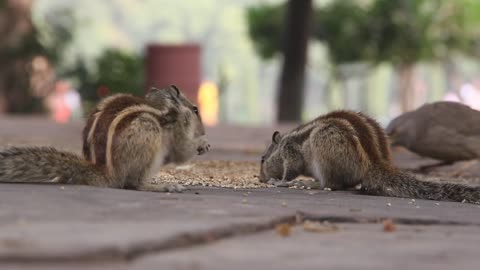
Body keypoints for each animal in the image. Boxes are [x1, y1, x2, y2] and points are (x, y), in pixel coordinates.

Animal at [0, 84, 210, 192]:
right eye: (195, 110)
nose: (203, 132)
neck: (165, 108)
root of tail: (105, 173)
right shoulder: (179, 130)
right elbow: (182, 152)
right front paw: (202, 144)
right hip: (148, 131)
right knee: (134, 184)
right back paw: (163, 187)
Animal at [260, 109, 480, 202]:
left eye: (262, 159)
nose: (260, 178)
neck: (283, 143)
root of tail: (375, 162)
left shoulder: (291, 152)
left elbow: (291, 170)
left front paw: (279, 181)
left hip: (322, 147)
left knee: (333, 185)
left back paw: (312, 184)